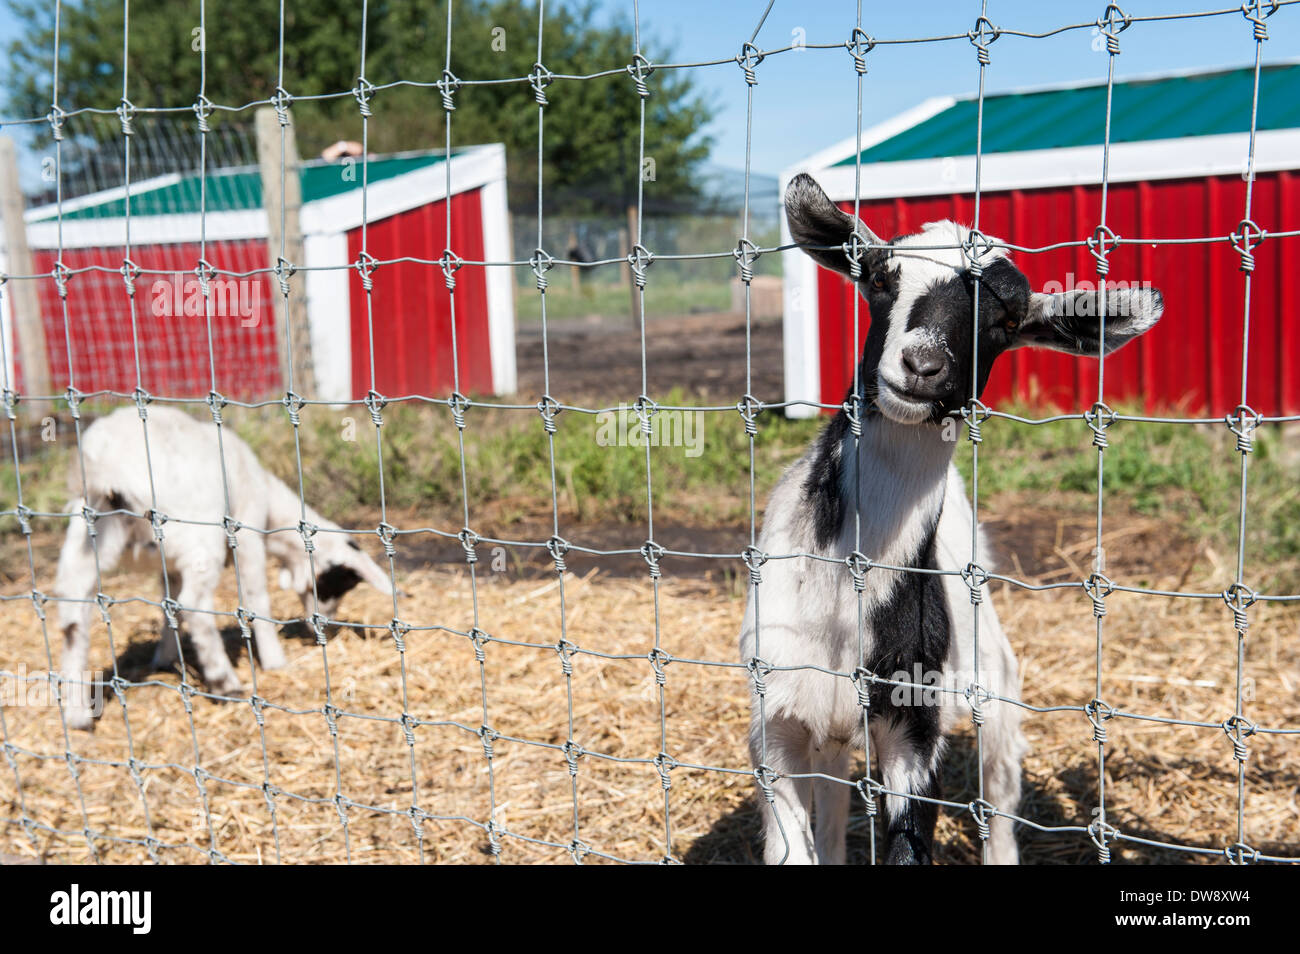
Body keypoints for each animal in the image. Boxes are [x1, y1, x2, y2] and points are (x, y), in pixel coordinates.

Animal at [55, 405, 390, 733]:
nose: (325, 629)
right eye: (336, 583)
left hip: (88, 535)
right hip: (196, 532)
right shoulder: (247, 535)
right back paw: (225, 683)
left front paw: (165, 657)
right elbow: (256, 596)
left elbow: (168, 605)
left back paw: (78, 715)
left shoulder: (170, 563)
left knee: (74, 615)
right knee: (196, 605)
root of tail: (107, 463)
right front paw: (274, 660)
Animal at [743, 174, 1170, 868]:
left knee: (999, 778)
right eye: (880, 278)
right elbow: (793, 844)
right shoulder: (776, 718)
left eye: (1007, 319)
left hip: (986, 659)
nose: (921, 366)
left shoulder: (915, 728)